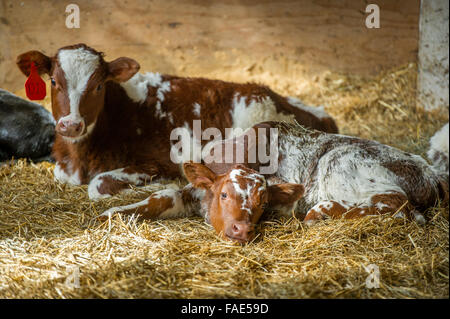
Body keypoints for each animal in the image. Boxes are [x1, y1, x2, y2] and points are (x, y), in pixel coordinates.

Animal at [100, 121, 448, 244]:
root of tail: (430, 172)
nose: (241, 230)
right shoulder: (195, 191)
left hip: (343, 161)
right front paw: (112, 214)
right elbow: (162, 197)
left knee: (400, 207)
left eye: (263, 202)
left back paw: (323, 210)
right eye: (223, 195)